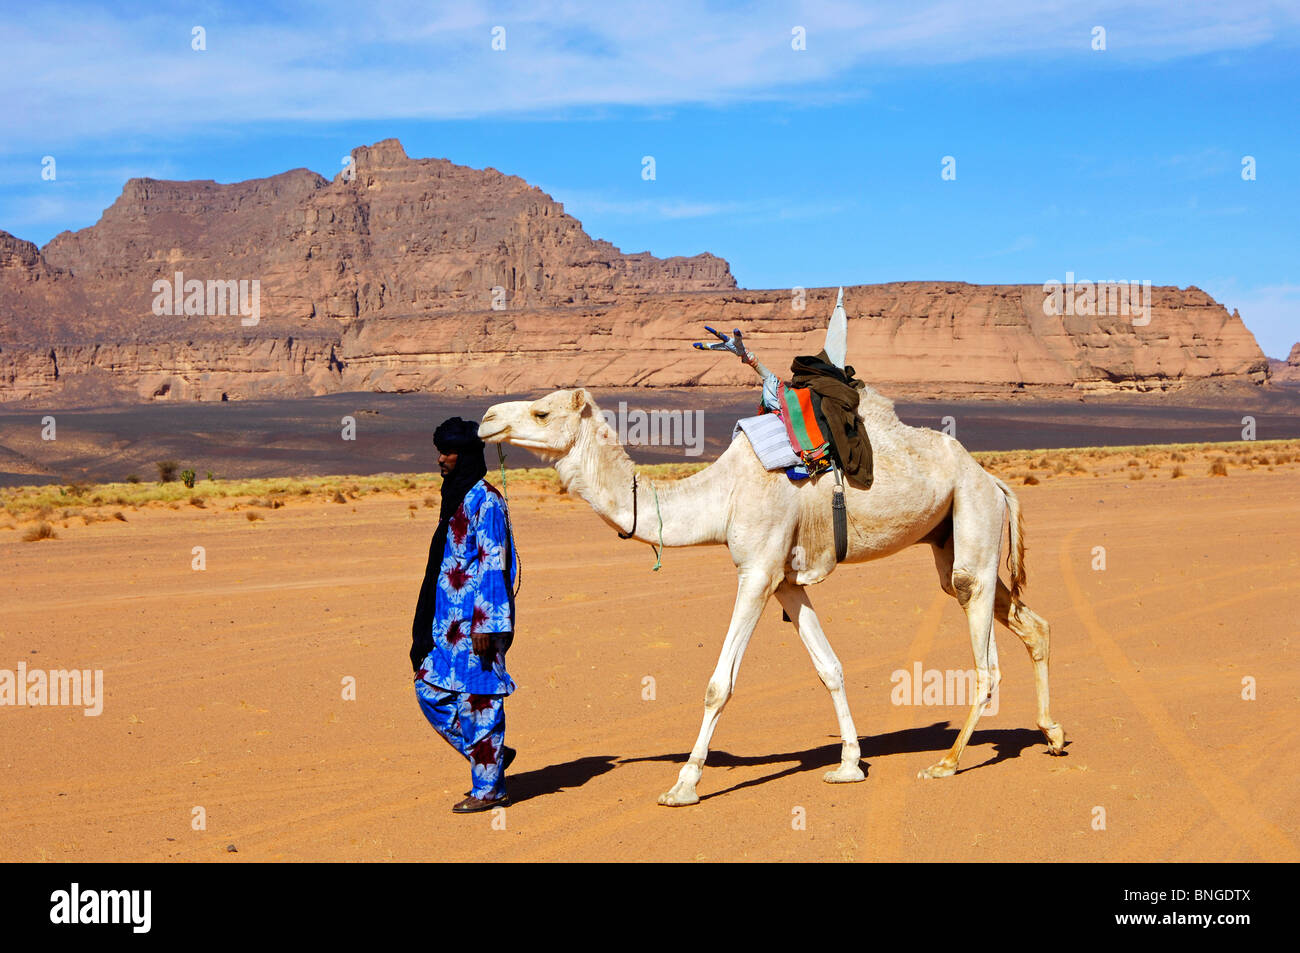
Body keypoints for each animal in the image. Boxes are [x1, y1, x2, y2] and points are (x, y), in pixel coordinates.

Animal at [480, 377, 1066, 800]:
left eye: (542, 413)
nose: (486, 420)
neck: (722, 495)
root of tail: (993, 479)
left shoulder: (757, 571)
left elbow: (719, 684)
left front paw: (683, 784)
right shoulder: (785, 581)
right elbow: (830, 668)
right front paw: (849, 765)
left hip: (973, 519)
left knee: (985, 657)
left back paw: (947, 763)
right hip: (951, 537)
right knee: (1029, 623)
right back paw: (1053, 734)